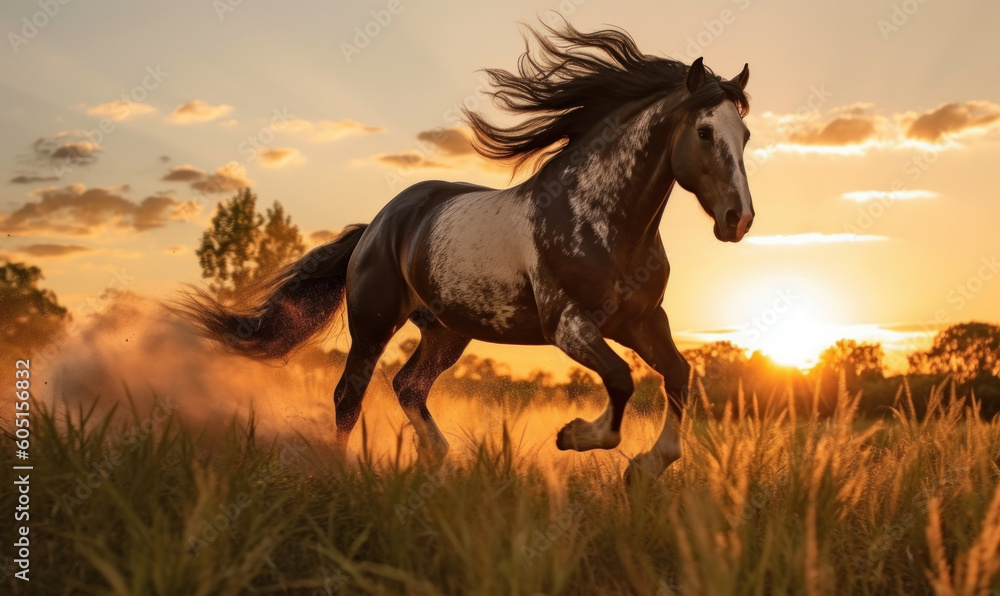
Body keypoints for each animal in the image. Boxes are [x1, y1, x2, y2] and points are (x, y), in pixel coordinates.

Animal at [179, 21, 754, 482]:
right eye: (705, 131)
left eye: (745, 134)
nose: (739, 219)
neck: (604, 220)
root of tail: (377, 225)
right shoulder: (568, 324)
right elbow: (620, 379)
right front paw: (572, 436)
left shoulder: (642, 320)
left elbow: (679, 376)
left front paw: (644, 468)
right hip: (373, 323)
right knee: (350, 393)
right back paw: (337, 471)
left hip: (446, 332)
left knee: (408, 385)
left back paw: (439, 459)